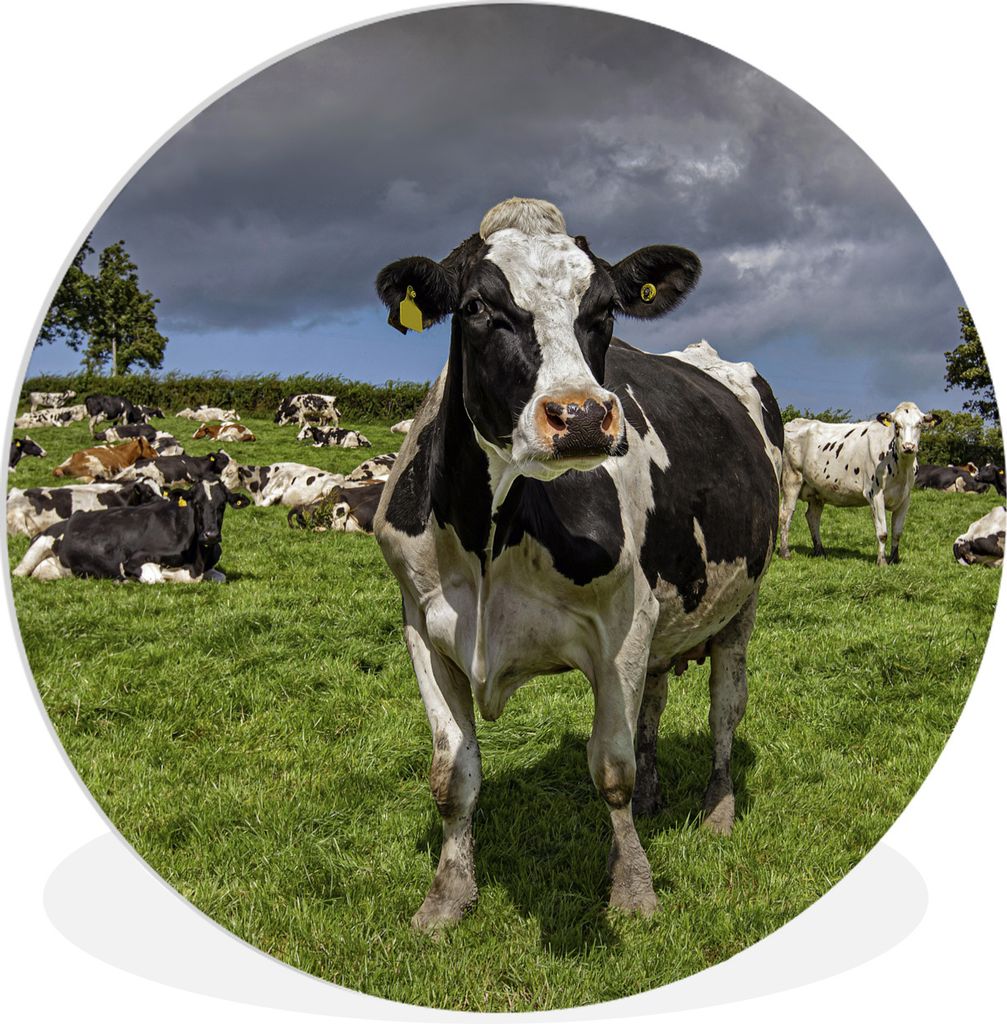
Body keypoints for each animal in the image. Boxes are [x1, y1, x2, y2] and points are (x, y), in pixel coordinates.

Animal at [372, 197, 783, 928]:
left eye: (605, 311)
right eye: (477, 307)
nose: (583, 416)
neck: (490, 534)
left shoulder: (621, 623)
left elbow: (610, 769)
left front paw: (633, 887)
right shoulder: (423, 625)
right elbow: (453, 775)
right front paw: (445, 898)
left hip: (742, 604)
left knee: (724, 709)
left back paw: (718, 808)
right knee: (653, 702)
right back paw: (654, 799)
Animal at [779, 404, 940, 566]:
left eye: (919, 424)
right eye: (896, 424)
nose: (908, 446)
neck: (901, 468)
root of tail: (794, 422)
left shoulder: (905, 498)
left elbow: (897, 532)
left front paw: (894, 560)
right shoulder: (875, 494)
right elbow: (882, 533)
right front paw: (882, 562)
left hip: (817, 490)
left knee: (813, 517)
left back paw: (820, 551)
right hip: (791, 479)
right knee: (786, 514)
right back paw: (785, 552)